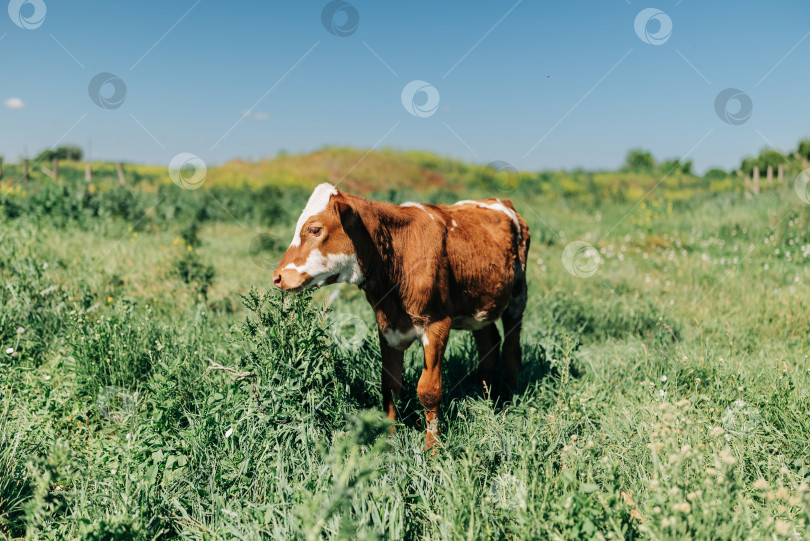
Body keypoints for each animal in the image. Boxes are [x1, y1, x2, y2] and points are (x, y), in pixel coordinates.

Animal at [274, 182, 532, 448]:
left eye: (315, 229)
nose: (278, 277)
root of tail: (500, 202)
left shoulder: (436, 324)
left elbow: (429, 390)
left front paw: (432, 447)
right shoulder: (387, 326)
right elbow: (390, 384)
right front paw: (388, 438)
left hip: (517, 295)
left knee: (512, 348)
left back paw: (510, 399)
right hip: (480, 306)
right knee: (488, 343)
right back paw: (483, 399)